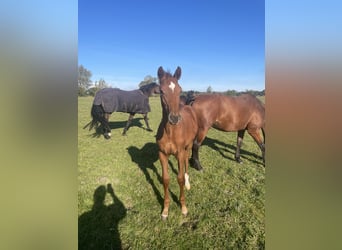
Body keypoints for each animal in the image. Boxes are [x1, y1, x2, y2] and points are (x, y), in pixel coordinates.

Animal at [156, 66, 198, 219]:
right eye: (161, 91)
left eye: (180, 90)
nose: (174, 118)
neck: (170, 132)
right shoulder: (162, 154)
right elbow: (165, 179)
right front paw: (165, 210)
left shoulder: (179, 152)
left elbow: (179, 178)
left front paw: (184, 207)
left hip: (188, 146)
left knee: (185, 161)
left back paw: (187, 183)